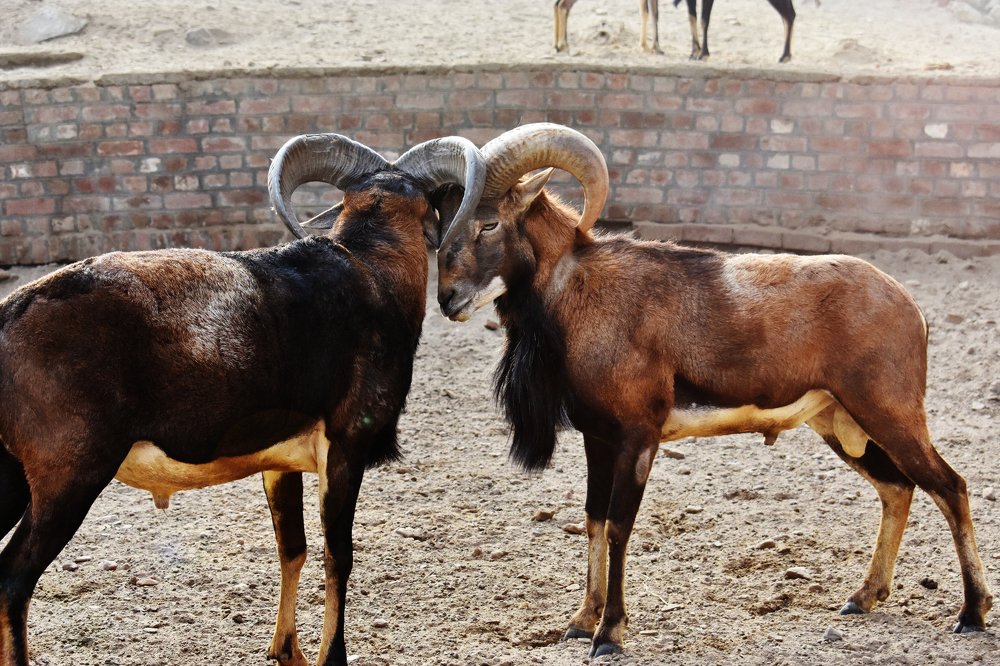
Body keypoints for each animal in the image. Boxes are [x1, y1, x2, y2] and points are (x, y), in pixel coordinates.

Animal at [0, 132, 486, 666]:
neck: (371, 271)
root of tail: (9, 318)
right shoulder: (344, 448)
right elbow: (338, 554)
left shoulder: (281, 462)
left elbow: (292, 548)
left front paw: (286, 651)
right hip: (68, 478)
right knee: (13, 581)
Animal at [435, 122, 992, 657]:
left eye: (489, 222)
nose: (448, 299)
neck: (585, 295)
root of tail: (910, 308)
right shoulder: (599, 438)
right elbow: (593, 521)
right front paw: (579, 623)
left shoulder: (638, 437)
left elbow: (618, 526)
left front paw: (609, 636)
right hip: (841, 424)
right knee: (898, 489)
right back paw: (862, 598)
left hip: (890, 414)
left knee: (950, 487)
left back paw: (971, 613)